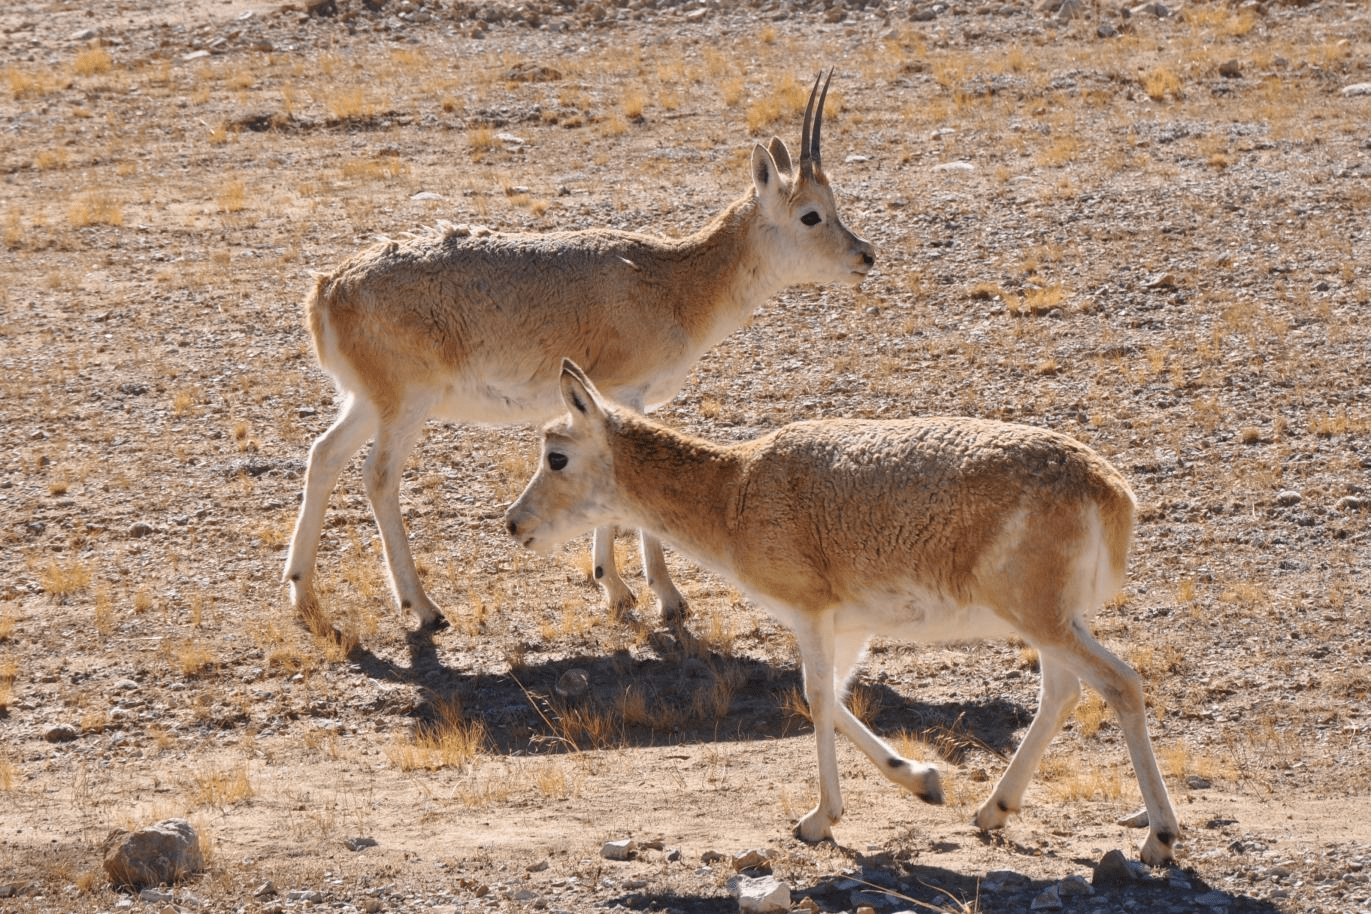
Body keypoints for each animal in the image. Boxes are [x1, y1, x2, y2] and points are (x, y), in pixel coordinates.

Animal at [282, 71, 871, 633]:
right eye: (811, 215)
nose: (865, 255)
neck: (672, 281)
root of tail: (328, 289)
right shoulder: (627, 392)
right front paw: (662, 597)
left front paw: (614, 586)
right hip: (406, 405)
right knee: (378, 476)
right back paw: (423, 608)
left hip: (367, 402)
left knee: (323, 457)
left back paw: (303, 593)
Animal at [510, 359, 1184, 866]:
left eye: (556, 456)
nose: (514, 523)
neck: (736, 495)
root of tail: (1114, 494)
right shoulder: (851, 624)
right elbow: (836, 698)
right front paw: (922, 780)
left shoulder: (809, 613)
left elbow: (814, 697)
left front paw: (818, 820)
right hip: (1054, 621)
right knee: (1064, 692)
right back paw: (992, 810)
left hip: (1042, 619)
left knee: (1121, 683)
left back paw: (1159, 836)